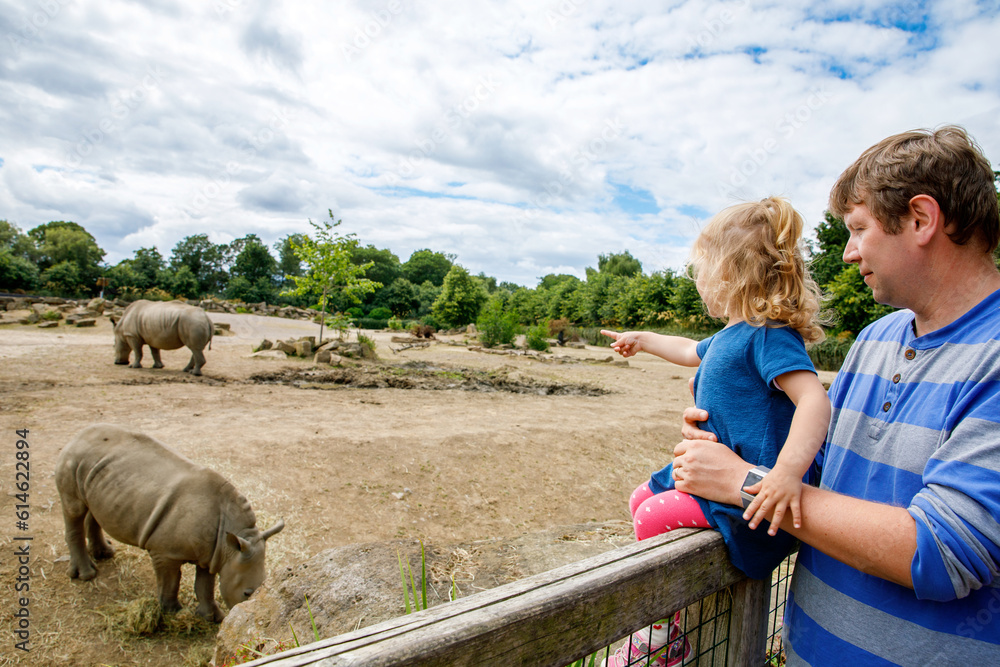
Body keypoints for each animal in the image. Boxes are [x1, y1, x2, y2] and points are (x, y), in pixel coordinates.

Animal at [55, 424, 284, 621]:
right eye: (246, 593)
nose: (250, 612)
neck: (232, 536)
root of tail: (77, 436)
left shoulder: (212, 552)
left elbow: (205, 585)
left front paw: (212, 618)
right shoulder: (165, 553)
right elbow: (171, 581)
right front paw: (172, 613)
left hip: (98, 470)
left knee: (91, 506)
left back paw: (105, 554)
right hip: (72, 460)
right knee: (74, 509)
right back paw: (87, 575)